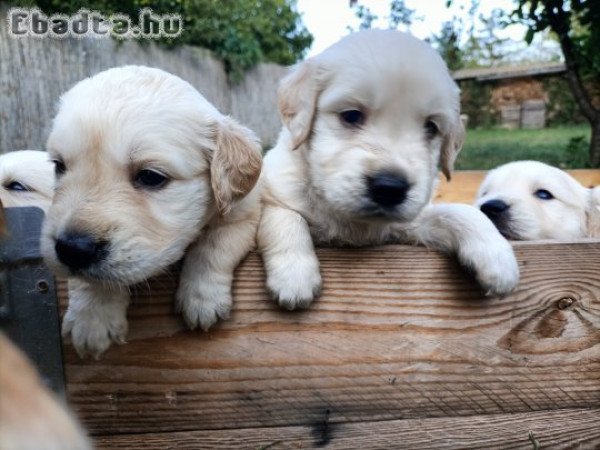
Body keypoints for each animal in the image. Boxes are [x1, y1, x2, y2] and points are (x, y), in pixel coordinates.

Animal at [39, 65, 260, 356]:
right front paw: (92, 316)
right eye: (58, 166)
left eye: (151, 177)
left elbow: (214, 244)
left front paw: (201, 297)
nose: (72, 249)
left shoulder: (243, 211)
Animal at [258, 28, 520, 310]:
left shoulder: (406, 227)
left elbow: (458, 212)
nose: (390, 188)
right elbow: (284, 215)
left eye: (431, 127)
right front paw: (294, 274)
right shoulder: (270, 193)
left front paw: (497, 256)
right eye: (351, 115)